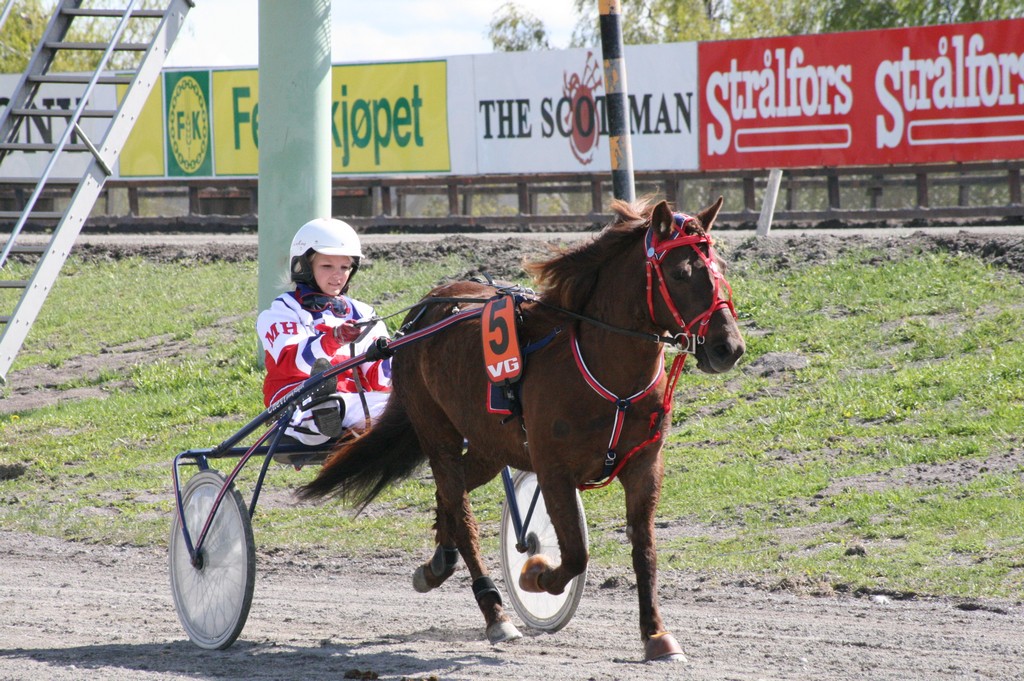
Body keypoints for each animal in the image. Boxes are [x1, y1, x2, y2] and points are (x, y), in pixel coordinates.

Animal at [296, 195, 745, 659]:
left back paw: (439, 563)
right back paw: (495, 613)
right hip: (436, 432)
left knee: (450, 495)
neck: (605, 370)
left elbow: (645, 548)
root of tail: (424, 310)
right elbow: (576, 552)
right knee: (460, 510)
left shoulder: (644, 465)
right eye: (680, 273)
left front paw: (656, 634)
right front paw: (534, 575)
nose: (727, 348)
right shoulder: (553, 468)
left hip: (489, 447)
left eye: (720, 268)